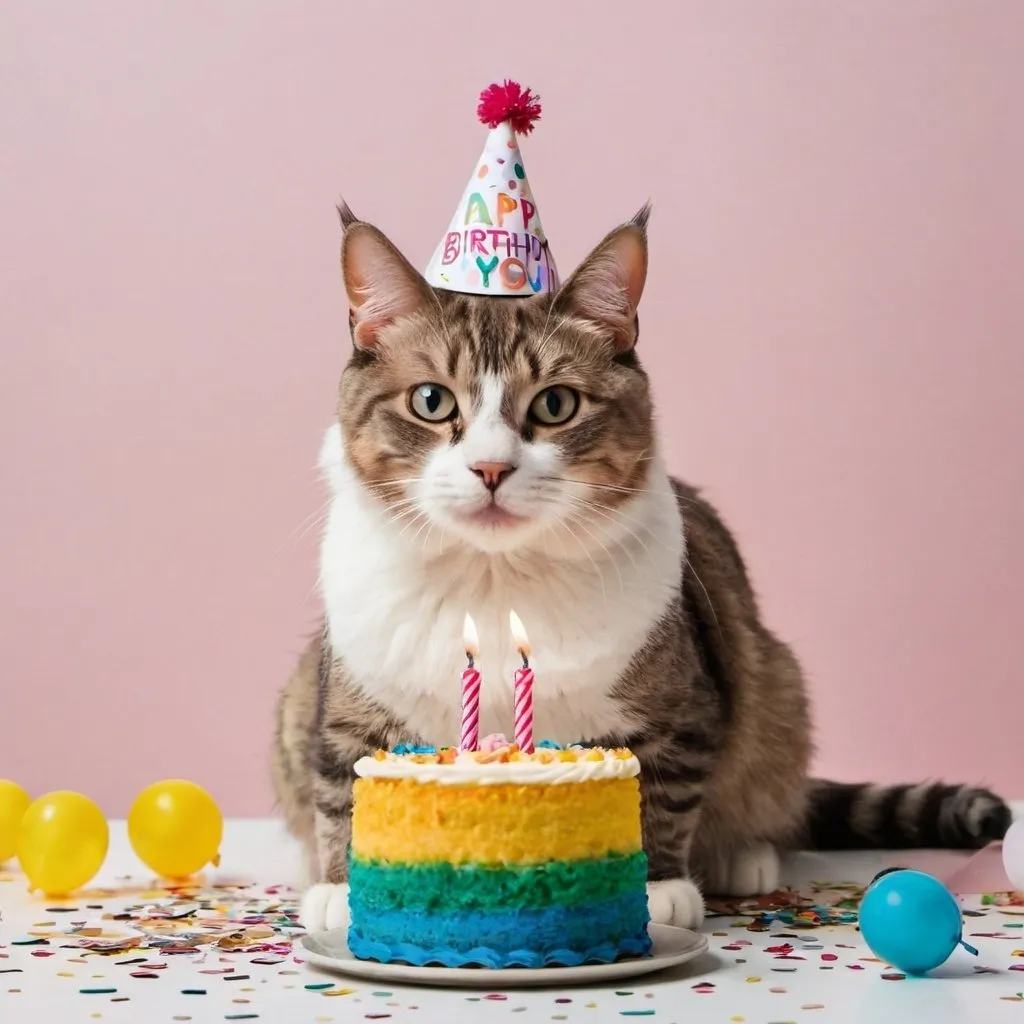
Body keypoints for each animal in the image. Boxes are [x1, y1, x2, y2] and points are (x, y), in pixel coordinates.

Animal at [274, 203, 1015, 933]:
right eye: (431, 401)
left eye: (555, 404)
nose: (490, 468)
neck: (496, 580)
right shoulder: (343, 705)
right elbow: (340, 781)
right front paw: (339, 887)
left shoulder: (685, 706)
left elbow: (662, 788)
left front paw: (659, 886)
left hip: (777, 684)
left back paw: (743, 855)